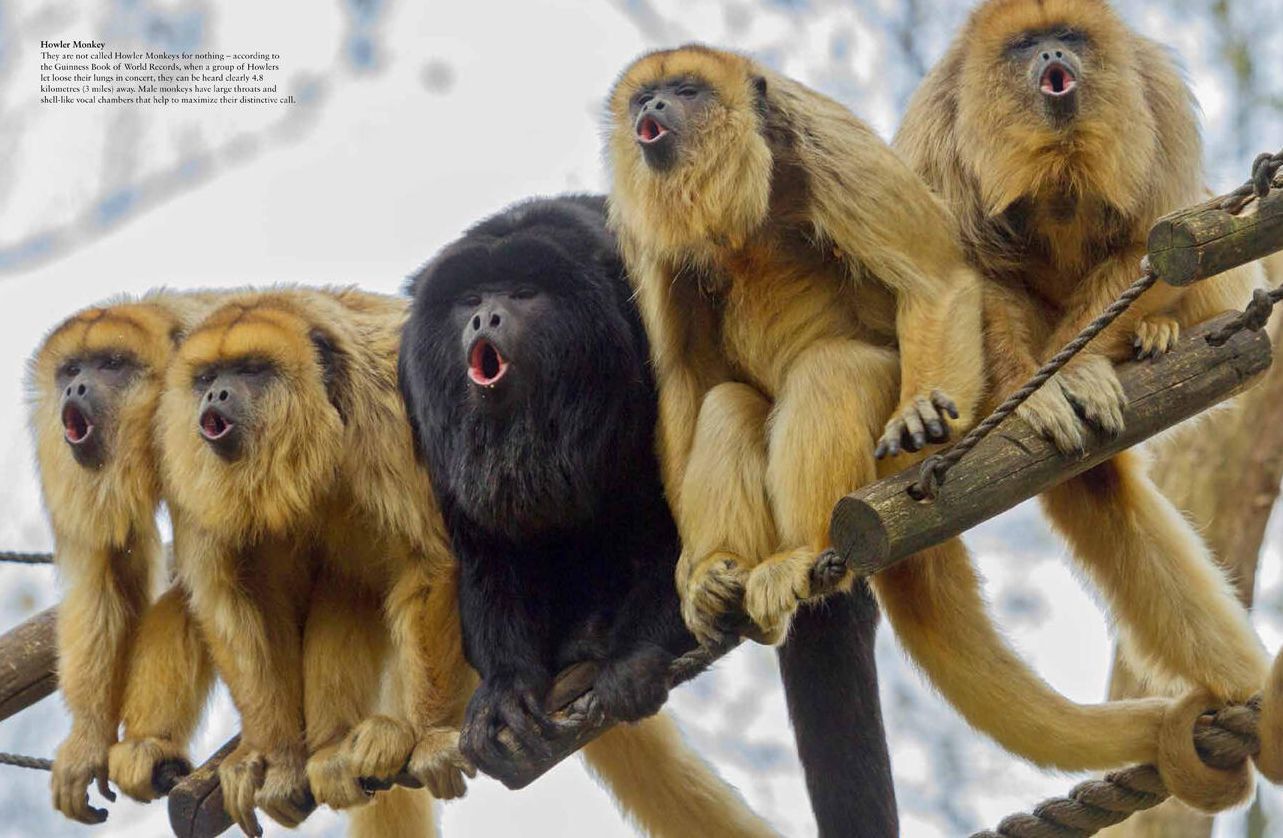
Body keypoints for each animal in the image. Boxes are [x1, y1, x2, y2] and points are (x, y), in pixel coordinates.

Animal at [606, 44, 1199, 789]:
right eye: (644, 97)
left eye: (686, 91)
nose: (652, 109)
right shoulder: (641, 235)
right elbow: (685, 379)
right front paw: (690, 572)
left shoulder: (823, 141)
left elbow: (934, 281)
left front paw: (917, 406)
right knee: (726, 403)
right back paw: (726, 572)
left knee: (834, 369)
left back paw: (805, 553)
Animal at [893, 0, 1270, 729]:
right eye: (1026, 46)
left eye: (1065, 38)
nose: (1051, 57)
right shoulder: (937, 125)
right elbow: (967, 272)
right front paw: (1036, 392)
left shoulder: (1157, 91)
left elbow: (1154, 234)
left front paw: (1074, 374)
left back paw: (1151, 335)